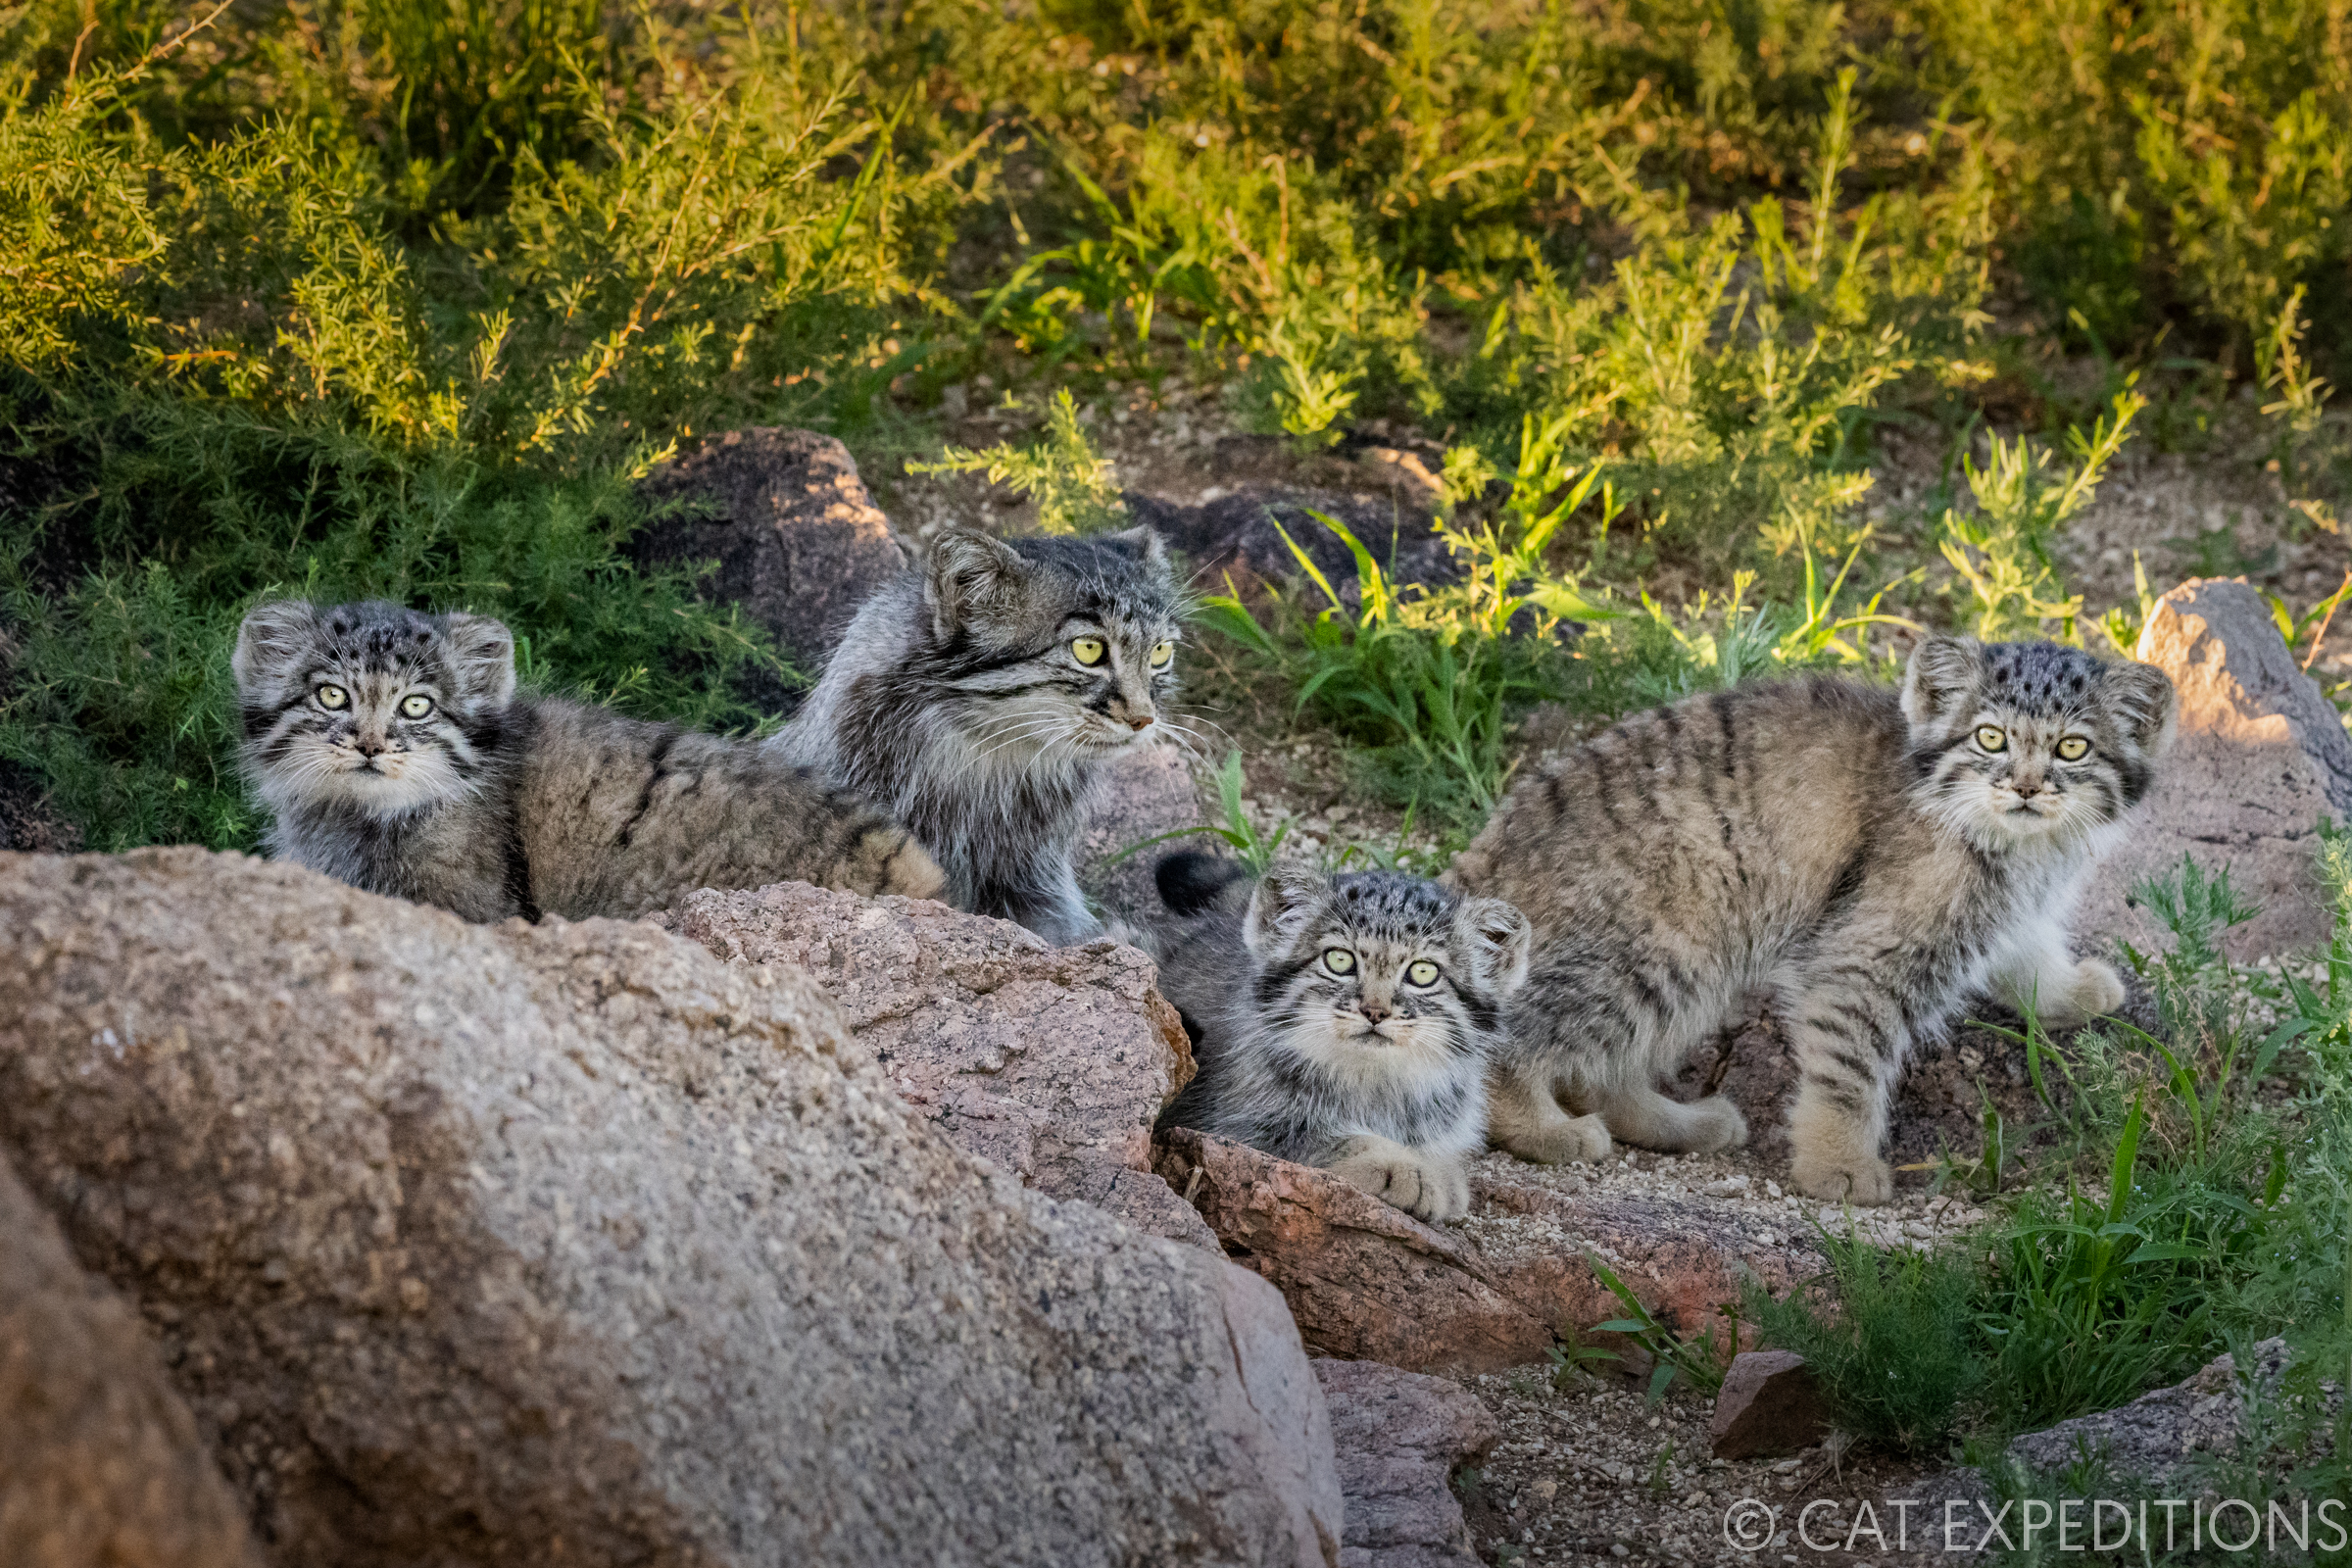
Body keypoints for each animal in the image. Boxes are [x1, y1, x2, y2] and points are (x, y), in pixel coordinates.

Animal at [1148, 846, 1533, 1222]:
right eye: (1339, 960)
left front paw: (1443, 1170)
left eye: (1424, 972)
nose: (1375, 1012)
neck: (1375, 1081)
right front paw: (1407, 1169)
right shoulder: (1233, 1123)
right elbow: (1335, 1136)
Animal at [1458, 634, 2173, 1203]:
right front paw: (1840, 1163)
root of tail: (1475, 863)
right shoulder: (1864, 957)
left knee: (1600, 1070)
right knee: (1511, 1045)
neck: (2020, 848)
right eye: (1989, 738)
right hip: (1664, 948)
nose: (2025, 788)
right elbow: (1848, 1072)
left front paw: (2071, 991)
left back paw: (1683, 1124)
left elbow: (2027, 955)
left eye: (2073, 748)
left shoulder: (2004, 909)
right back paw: (1544, 1128)